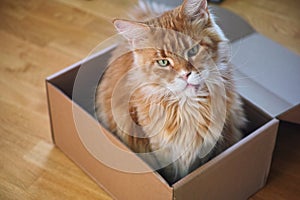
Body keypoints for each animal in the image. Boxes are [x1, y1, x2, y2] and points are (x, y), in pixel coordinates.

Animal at [96, 0, 246, 184]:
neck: (187, 109)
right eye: (163, 62)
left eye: (193, 50)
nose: (185, 75)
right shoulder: (161, 149)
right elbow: (170, 173)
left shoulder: (208, 145)